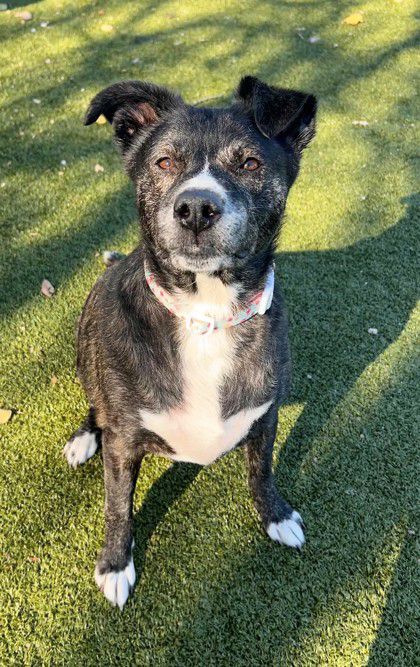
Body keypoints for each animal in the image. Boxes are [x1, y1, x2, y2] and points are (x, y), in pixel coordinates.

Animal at [64, 75, 316, 608]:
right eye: (164, 162)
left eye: (250, 163)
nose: (196, 207)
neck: (206, 314)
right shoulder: (123, 443)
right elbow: (117, 505)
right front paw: (115, 564)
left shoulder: (266, 415)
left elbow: (262, 470)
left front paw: (276, 515)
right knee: (94, 404)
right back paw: (83, 438)